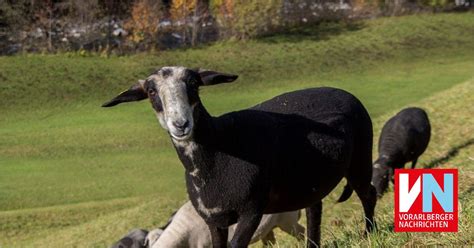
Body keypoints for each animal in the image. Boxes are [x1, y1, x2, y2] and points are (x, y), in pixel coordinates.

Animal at [102, 67, 376, 247]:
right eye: (151, 92)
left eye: (194, 84)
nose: (180, 124)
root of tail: (339, 90)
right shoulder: (214, 220)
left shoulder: (251, 210)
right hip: (308, 182)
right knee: (314, 210)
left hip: (360, 158)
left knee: (368, 194)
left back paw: (369, 234)